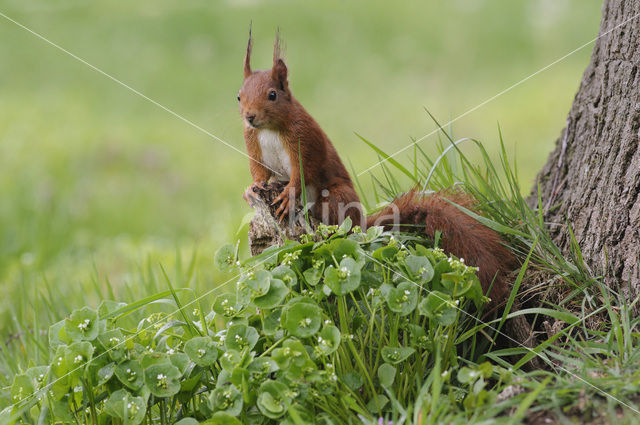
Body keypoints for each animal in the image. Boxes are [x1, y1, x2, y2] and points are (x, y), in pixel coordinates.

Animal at [238, 34, 512, 304]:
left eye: (272, 95)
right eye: (238, 96)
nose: (249, 116)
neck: (269, 129)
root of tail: (363, 224)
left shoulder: (305, 139)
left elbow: (305, 170)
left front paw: (289, 193)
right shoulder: (253, 146)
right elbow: (260, 172)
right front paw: (251, 190)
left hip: (337, 197)